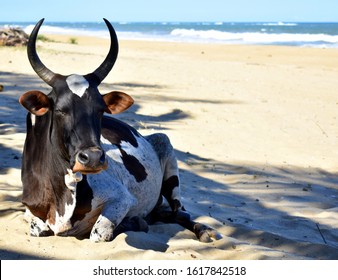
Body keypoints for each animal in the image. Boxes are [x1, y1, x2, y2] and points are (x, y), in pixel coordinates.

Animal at [20, 18, 222, 243]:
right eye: (61, 110)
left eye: (100, 109)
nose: (92, 158)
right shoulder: (30, 210)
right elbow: (36, 229)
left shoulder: (122, 199)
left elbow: (99, 233)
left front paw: (133, 223)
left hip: (168, 154)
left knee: (180, 212)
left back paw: (203, 229)